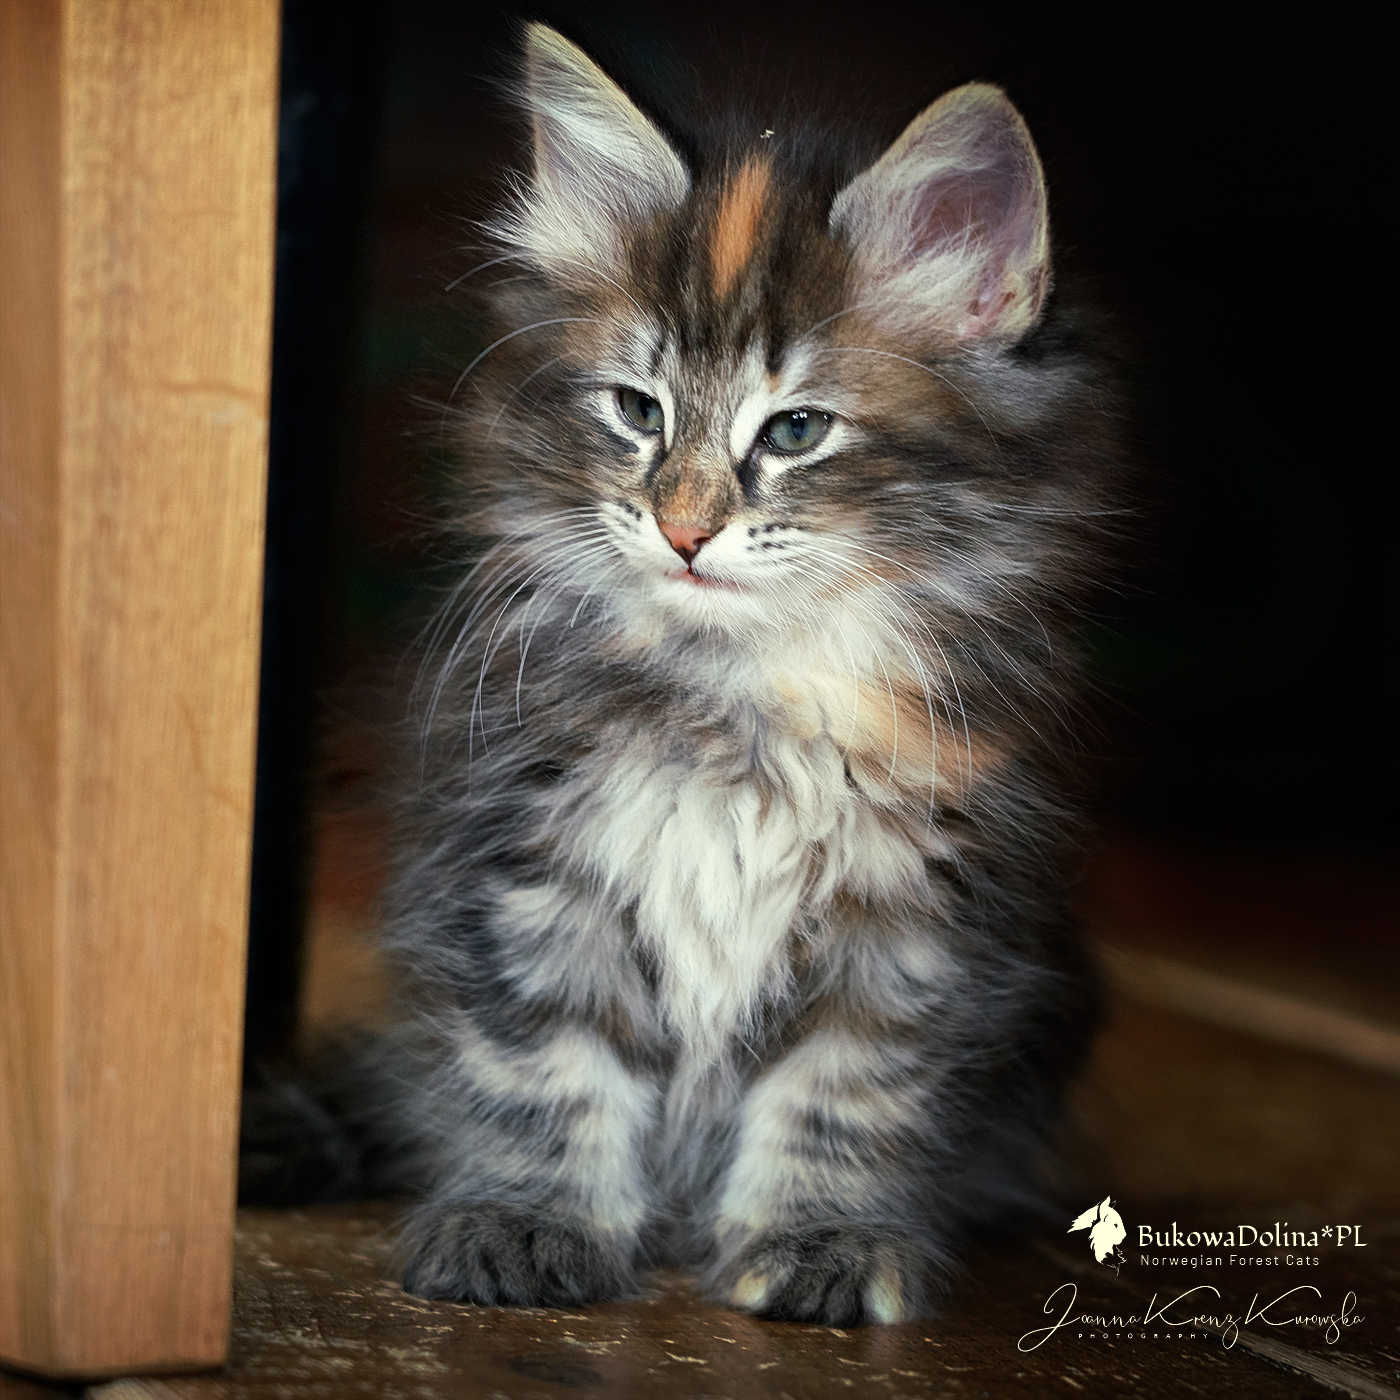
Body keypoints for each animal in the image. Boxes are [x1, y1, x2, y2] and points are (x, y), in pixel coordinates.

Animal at [283, 22, 1124, 1326]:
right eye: (636, 409)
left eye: (795, 431)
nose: (680, 529)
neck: (740, 696)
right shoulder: (527, 861)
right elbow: (544, 1065)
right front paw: (526, 1219)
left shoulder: (915, 908)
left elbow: (844, 1087)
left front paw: (819, 1240)